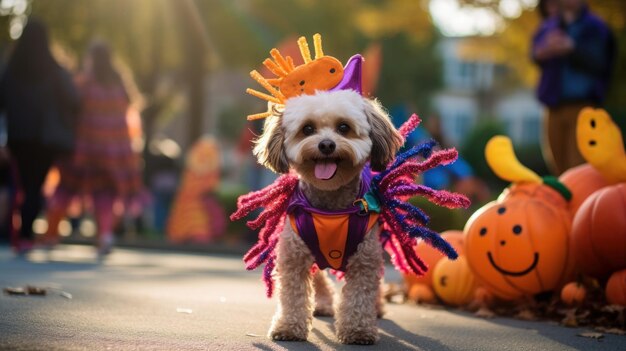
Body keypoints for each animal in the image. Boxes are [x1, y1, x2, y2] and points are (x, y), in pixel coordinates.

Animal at [252, 89, 402, 346]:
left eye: (343, 127)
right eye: (308, 129)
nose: (326, 145)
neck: (330, 206)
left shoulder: (364, 258)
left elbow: (360, 295)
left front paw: (358, 330)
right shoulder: (294, 255)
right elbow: (293, 295)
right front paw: (289, 327)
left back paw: (378, 307)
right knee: (319, 276)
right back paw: (322, 304)